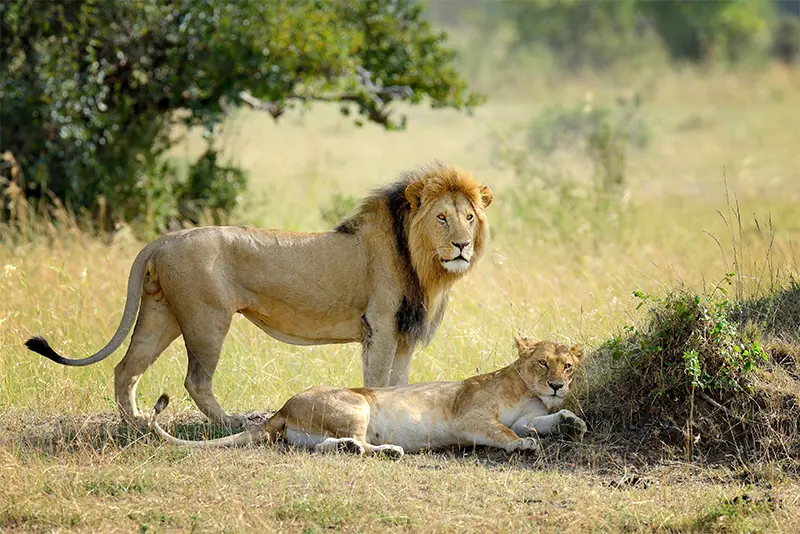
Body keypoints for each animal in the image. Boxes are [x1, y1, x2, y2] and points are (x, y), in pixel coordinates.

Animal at [24, 161, 493, 427]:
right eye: (442, 218)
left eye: (469, 217)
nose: (462, 246)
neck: (422, 263)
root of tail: (164, 239)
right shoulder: (378, 326)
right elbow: (378, 382)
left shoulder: (404, 334)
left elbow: (400, 383)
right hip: (206, 319)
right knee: (195, 379)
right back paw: (228, 422)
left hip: (161, 314)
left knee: (126, 368)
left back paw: (136, 423)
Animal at [147, 339, 587, 457]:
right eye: (543, 363)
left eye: (567, 366)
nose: (557, 386)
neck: (525, 388)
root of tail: (283, 408)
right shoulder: (470, 419)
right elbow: (507, 433)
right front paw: (524, 445)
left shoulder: (527, 414)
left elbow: (540, 421)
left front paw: (571, 421)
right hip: (357, 405)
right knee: (361, 443)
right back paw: (389, 450)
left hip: (312, 432)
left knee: (325, 446)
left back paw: (352, 448)